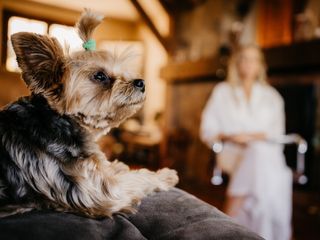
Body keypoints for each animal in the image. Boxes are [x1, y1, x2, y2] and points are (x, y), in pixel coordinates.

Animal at [0, 9, 178, 218]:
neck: (61, 121)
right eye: (100, 76)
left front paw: (119, 166)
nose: (141, 82)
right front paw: (166, 175)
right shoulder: (101, 190)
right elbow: (140, 177)